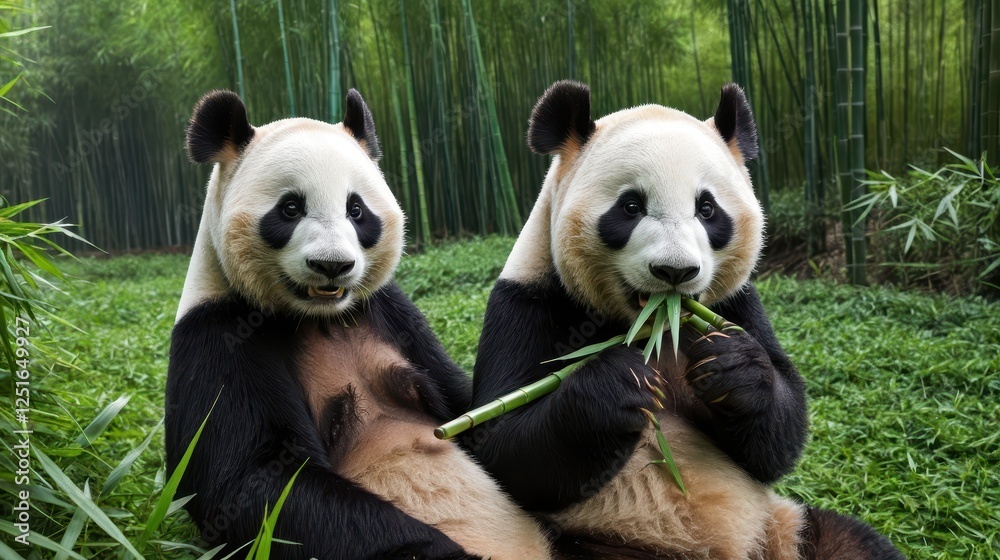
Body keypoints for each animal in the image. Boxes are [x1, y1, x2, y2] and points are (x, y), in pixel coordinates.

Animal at [165, 89, 552, 560]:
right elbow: (254, 488)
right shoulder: (218, 335)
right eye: (290, 208)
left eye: (356, 209)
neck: (319, 317)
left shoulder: (390, 312)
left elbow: (472, 411)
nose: (332, 265)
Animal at [466, 81, 904, 559]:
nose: (675, 271)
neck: (651, 328)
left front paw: (732, 368)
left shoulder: (735, 304)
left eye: (707, 209)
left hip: (783, 525)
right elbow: (502, 446)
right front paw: (618, 385)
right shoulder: (528, 302)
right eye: (630, 206)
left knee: (849, 541)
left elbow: (779, 436)